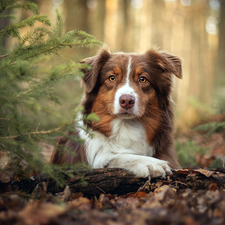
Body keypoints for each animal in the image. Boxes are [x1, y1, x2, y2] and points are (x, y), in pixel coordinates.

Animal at [50, 46, 181, 178]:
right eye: (112, 78)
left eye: (143, 79)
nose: (127, 101)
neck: (126, 127)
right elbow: (114, 157)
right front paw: (149, 163)